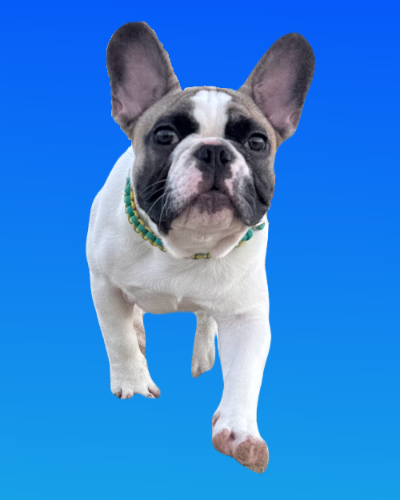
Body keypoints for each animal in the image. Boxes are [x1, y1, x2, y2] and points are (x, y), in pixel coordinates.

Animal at [86, 22, 314, 473]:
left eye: (257, 143)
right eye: (165, 135)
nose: (213, 151)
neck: (184, 245)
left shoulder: (246, 316)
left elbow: (245, 372)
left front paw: (240, 431)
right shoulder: (104, 285)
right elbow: (117, 337)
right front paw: (133, 381)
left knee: (206, 318)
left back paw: (204, 351)